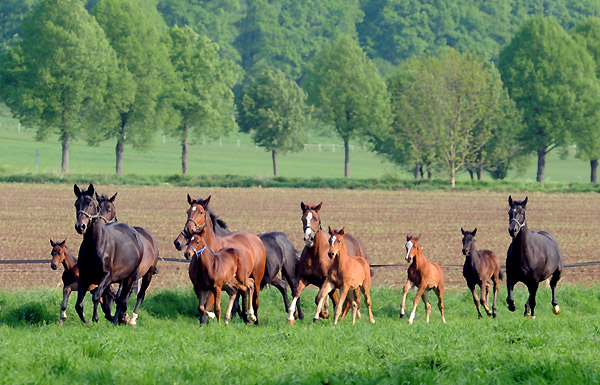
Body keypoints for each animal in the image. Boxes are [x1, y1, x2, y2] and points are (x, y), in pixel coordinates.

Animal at [72, 183, 159, 324]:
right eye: (76, 204)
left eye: (90, 204)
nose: (80, 226)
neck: (95, 245)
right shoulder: (85, 276)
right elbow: (79, 304)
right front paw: (87, 320)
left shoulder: (107, 276)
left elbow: (98, 296)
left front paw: (96, 318)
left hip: (142, 275)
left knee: (134, 296)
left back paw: (127, 319)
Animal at [179, 194, 266, 322]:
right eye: (188, 211)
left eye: (201, 212)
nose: (188, 229)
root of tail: (256, 238)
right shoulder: (199, 286)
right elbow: (201, 307)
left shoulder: (215, 286)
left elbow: (209, 305)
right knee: (244, 291)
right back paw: (245, 317)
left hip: (256, 277)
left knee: (254, 297)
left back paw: (253, 318)